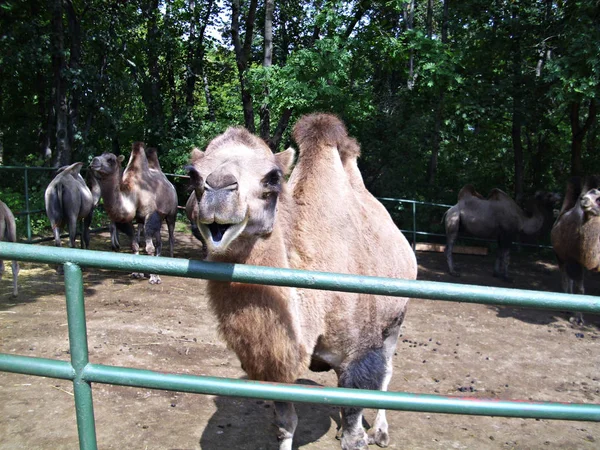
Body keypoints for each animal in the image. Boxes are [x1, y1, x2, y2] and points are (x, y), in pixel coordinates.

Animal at [88, 142, 178, 284]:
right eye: (100, 155)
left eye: (111, 159)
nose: (94, 161)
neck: (133, 194)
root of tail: (170, 185)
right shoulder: (129, 220)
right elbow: (135, 245)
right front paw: (137, 273)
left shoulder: (150, 215)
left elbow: (149, 248)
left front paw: (154, 278)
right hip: (157, 219)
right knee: (159, 241)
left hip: (171, 214)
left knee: (170, 237)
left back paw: (171, 259)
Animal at [188, 113, 418, 450]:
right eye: (192, 174)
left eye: (272, 178)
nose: (217, 189)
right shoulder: (275, 366)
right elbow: (286, 423)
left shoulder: (360, 352)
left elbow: (354, 427)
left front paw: (360, 434)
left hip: (396, 319)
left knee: (387, 372)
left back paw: (380, 431)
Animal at [552, 174, 600, 326]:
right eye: (589, 194)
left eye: (599, 199)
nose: (584, 199)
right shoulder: (575, 260)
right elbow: (580, 290)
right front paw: (578, 319)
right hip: (560, 256)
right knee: (566, 279)